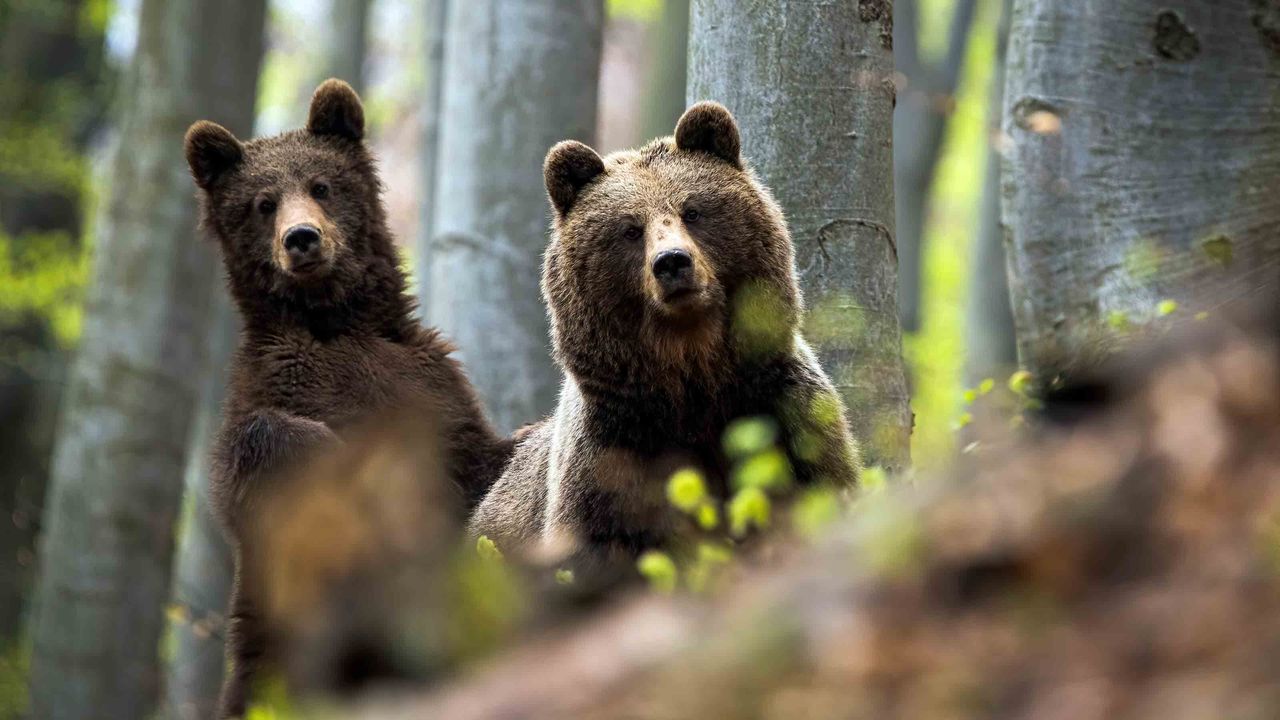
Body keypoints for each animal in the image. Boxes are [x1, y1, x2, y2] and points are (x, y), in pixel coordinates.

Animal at [186, 79, 514, 717]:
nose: (302, 239)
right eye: (263, 202)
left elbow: (480, 460)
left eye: (321, 185)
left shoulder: (431, 389)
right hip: (268, 650)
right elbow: (261, 455)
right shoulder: (274, 386)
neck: (335, 322)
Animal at [471, 102, 860, 571]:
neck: (691, 374)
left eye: (693, 210)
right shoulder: (611, 457)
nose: (672, 262)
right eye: (630, 228)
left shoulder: (785, 414)